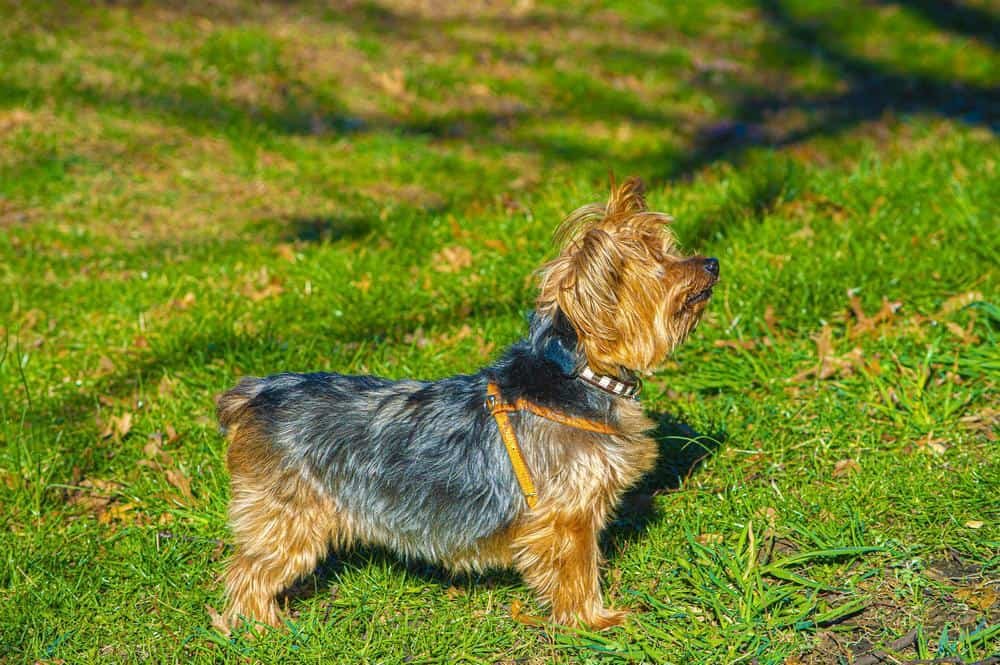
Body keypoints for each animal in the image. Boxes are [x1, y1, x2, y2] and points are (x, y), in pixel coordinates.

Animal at [217, 175, 720, 628]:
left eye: (670, 250)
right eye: (660, 262)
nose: (712, 262)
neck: (580, 376)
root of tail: (256, 393)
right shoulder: (566, 517)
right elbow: (577, 572)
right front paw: (593, 622)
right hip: (290, 512)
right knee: (250, 571)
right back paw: (259, 628)